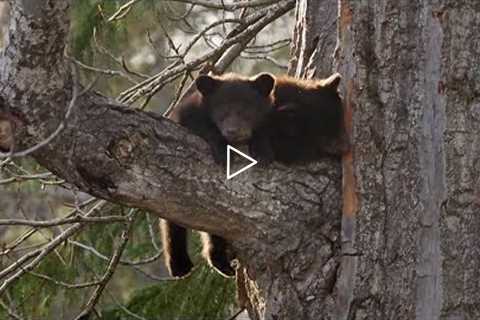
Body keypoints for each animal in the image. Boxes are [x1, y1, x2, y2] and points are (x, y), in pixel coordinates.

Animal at [161, 72, 274, 278]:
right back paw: (180, 264)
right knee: (173, 220)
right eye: (222, 110)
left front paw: (263, 151)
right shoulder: (187, 115)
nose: (233, 131)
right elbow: (204, 127)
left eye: (247, 109)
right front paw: (223, 151)